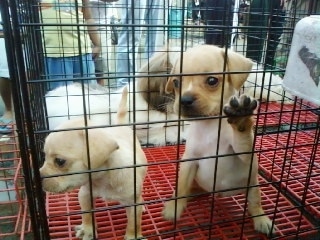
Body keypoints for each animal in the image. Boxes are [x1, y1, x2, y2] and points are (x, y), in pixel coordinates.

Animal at [39, 87, 147, 240]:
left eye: (60, 161)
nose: (37, 178)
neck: (103, 179)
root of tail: (120, 125)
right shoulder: (85, 194)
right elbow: (87, 215)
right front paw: (87, 229)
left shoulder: (133, 204)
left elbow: (133, 223)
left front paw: (133, 236)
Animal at [162, 44, 276, 234]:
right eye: (177, 83)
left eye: (212, 81)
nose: (185, 100)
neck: (210, 123)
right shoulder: (189, 160)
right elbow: (181, 186)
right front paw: (174, 206)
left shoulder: (245, 155)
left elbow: (243, 139)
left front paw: (241, 118)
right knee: (189, 188)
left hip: (252, 185)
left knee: (255, 203)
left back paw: (261, 219)